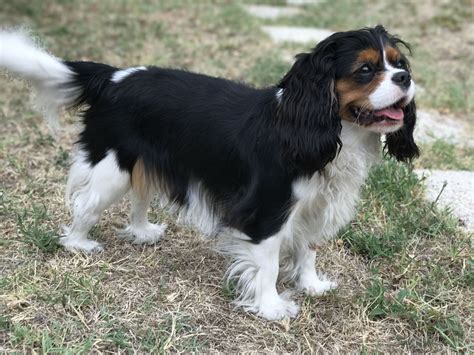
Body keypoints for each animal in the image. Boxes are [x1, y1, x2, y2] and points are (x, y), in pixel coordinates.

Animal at [0, 25, 416, 320]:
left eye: (399, 65)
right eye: (365, 70)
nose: (405, 79)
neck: (323, 127)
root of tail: (116, 76)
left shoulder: (317, 205)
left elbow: (308, 249)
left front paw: (311, 285)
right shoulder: (267, 211)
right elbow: (267, 263)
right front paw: (272, 308)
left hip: (144, 163)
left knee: (140, 196)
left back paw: (142, 232)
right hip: (111, 169)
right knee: (86, 203)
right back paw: (78, 243)